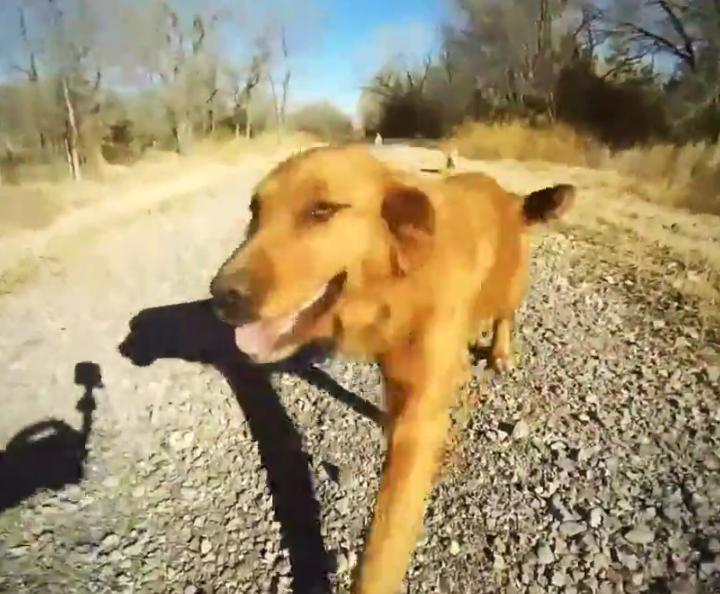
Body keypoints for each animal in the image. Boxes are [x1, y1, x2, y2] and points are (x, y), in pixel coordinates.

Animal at [208, 145, 572, 592]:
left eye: (322, 210)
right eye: (255, 211)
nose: (220, 297)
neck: (398, 283)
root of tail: (509, 195)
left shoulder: (417, 422)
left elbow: (383, 547)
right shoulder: (398, 377)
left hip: (508, 285)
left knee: (505, 314)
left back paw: (499, 352)